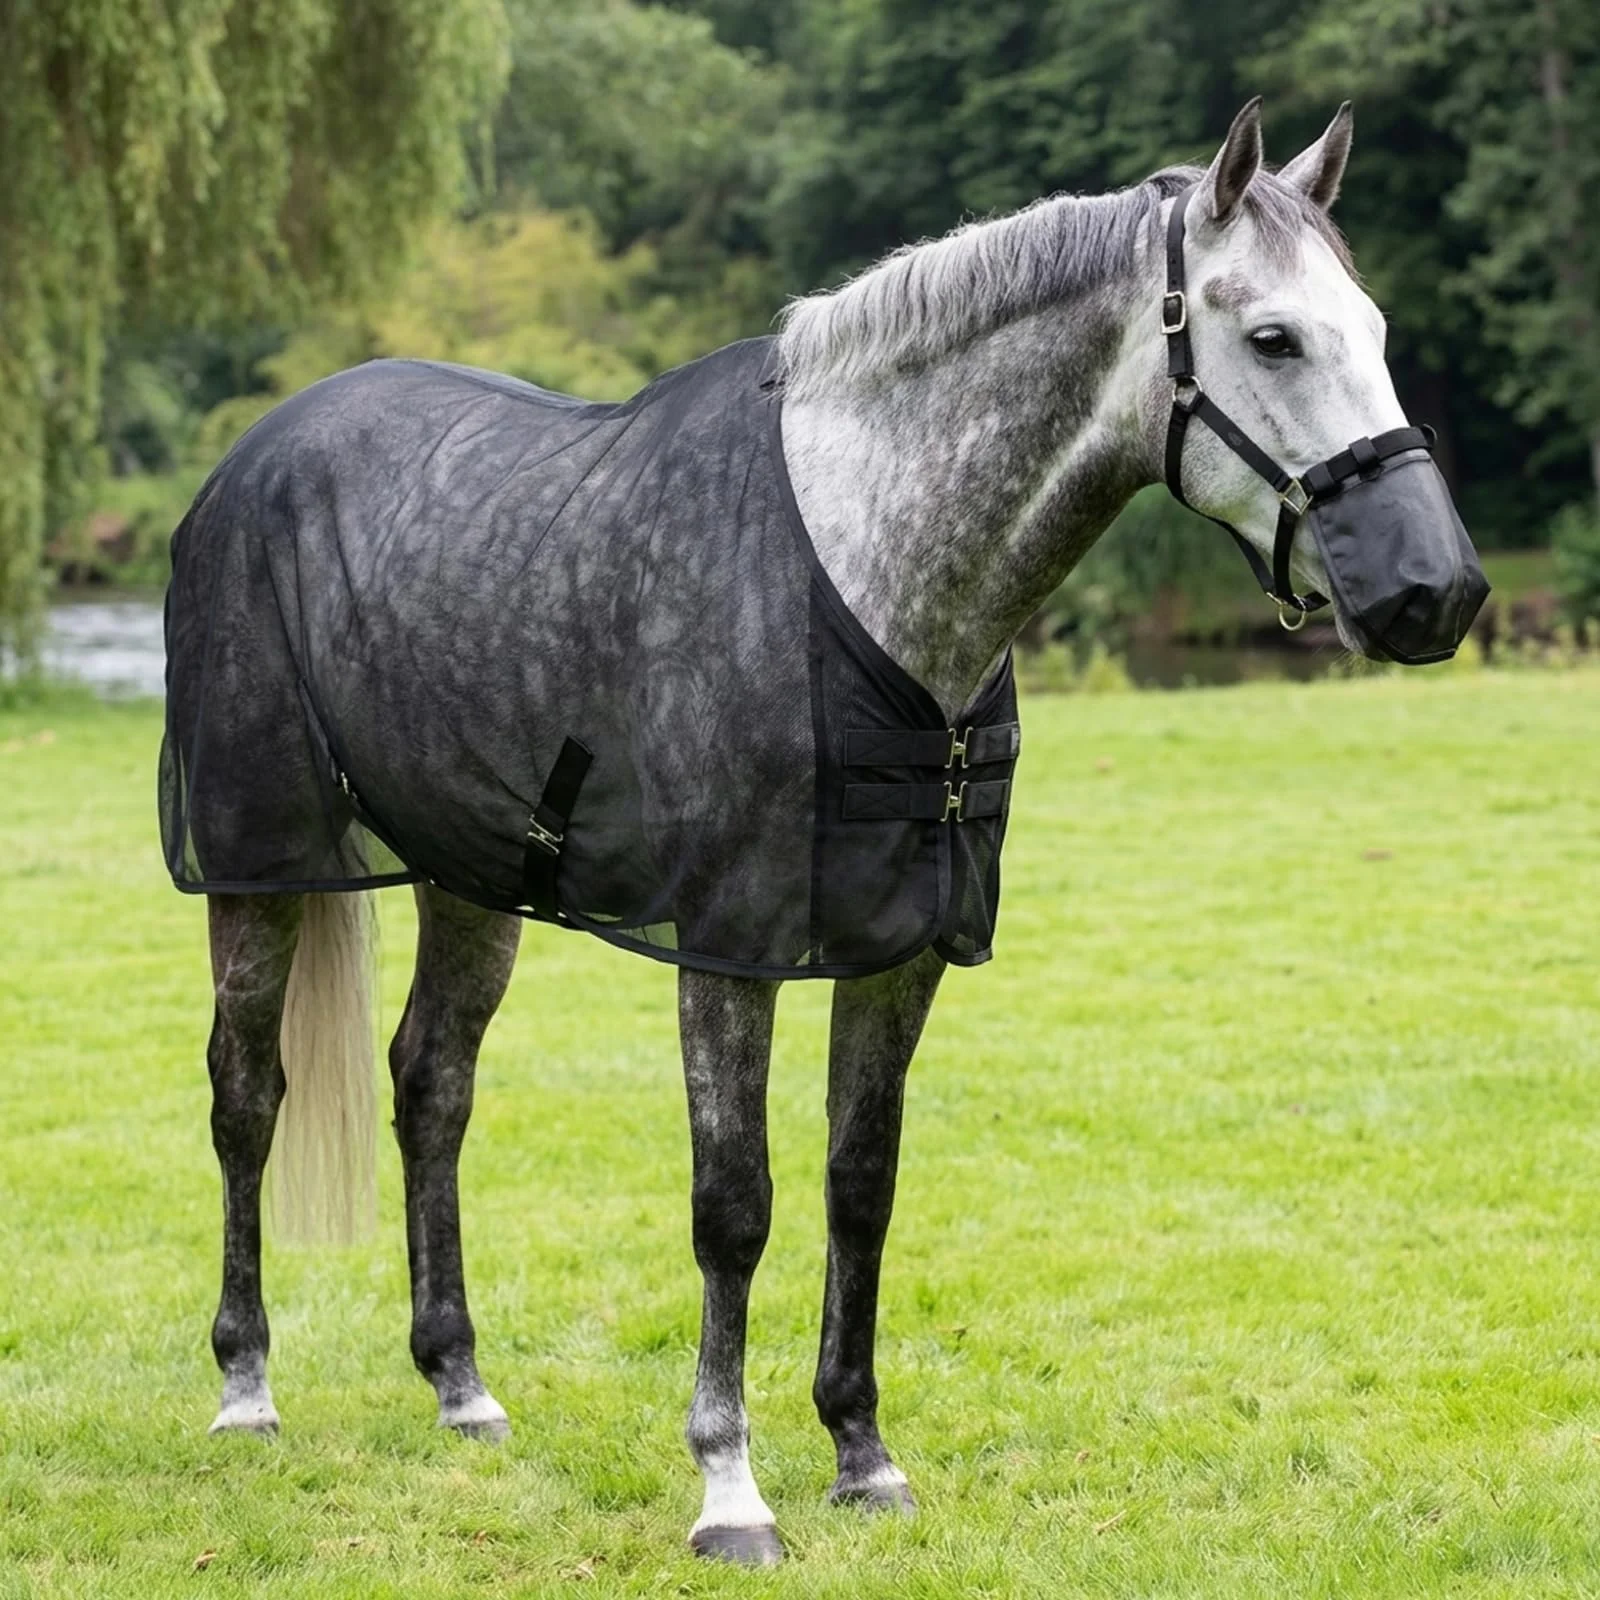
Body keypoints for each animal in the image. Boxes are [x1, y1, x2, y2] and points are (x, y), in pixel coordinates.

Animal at [160, 100, 1485, 1566]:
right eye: (1274, 339)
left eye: (1372, 328)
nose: (1436, 590)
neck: (866, 573)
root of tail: (257, 452)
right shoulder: (731, 951)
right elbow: (733, 1207)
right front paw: (730, 1488)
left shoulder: (901, 950)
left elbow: (862, 1184)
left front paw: (862, 1454)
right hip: (256, 865)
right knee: (246, 1093)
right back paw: (245, 1389)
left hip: (471, 878)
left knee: (430, 1085)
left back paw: (460, 1384)